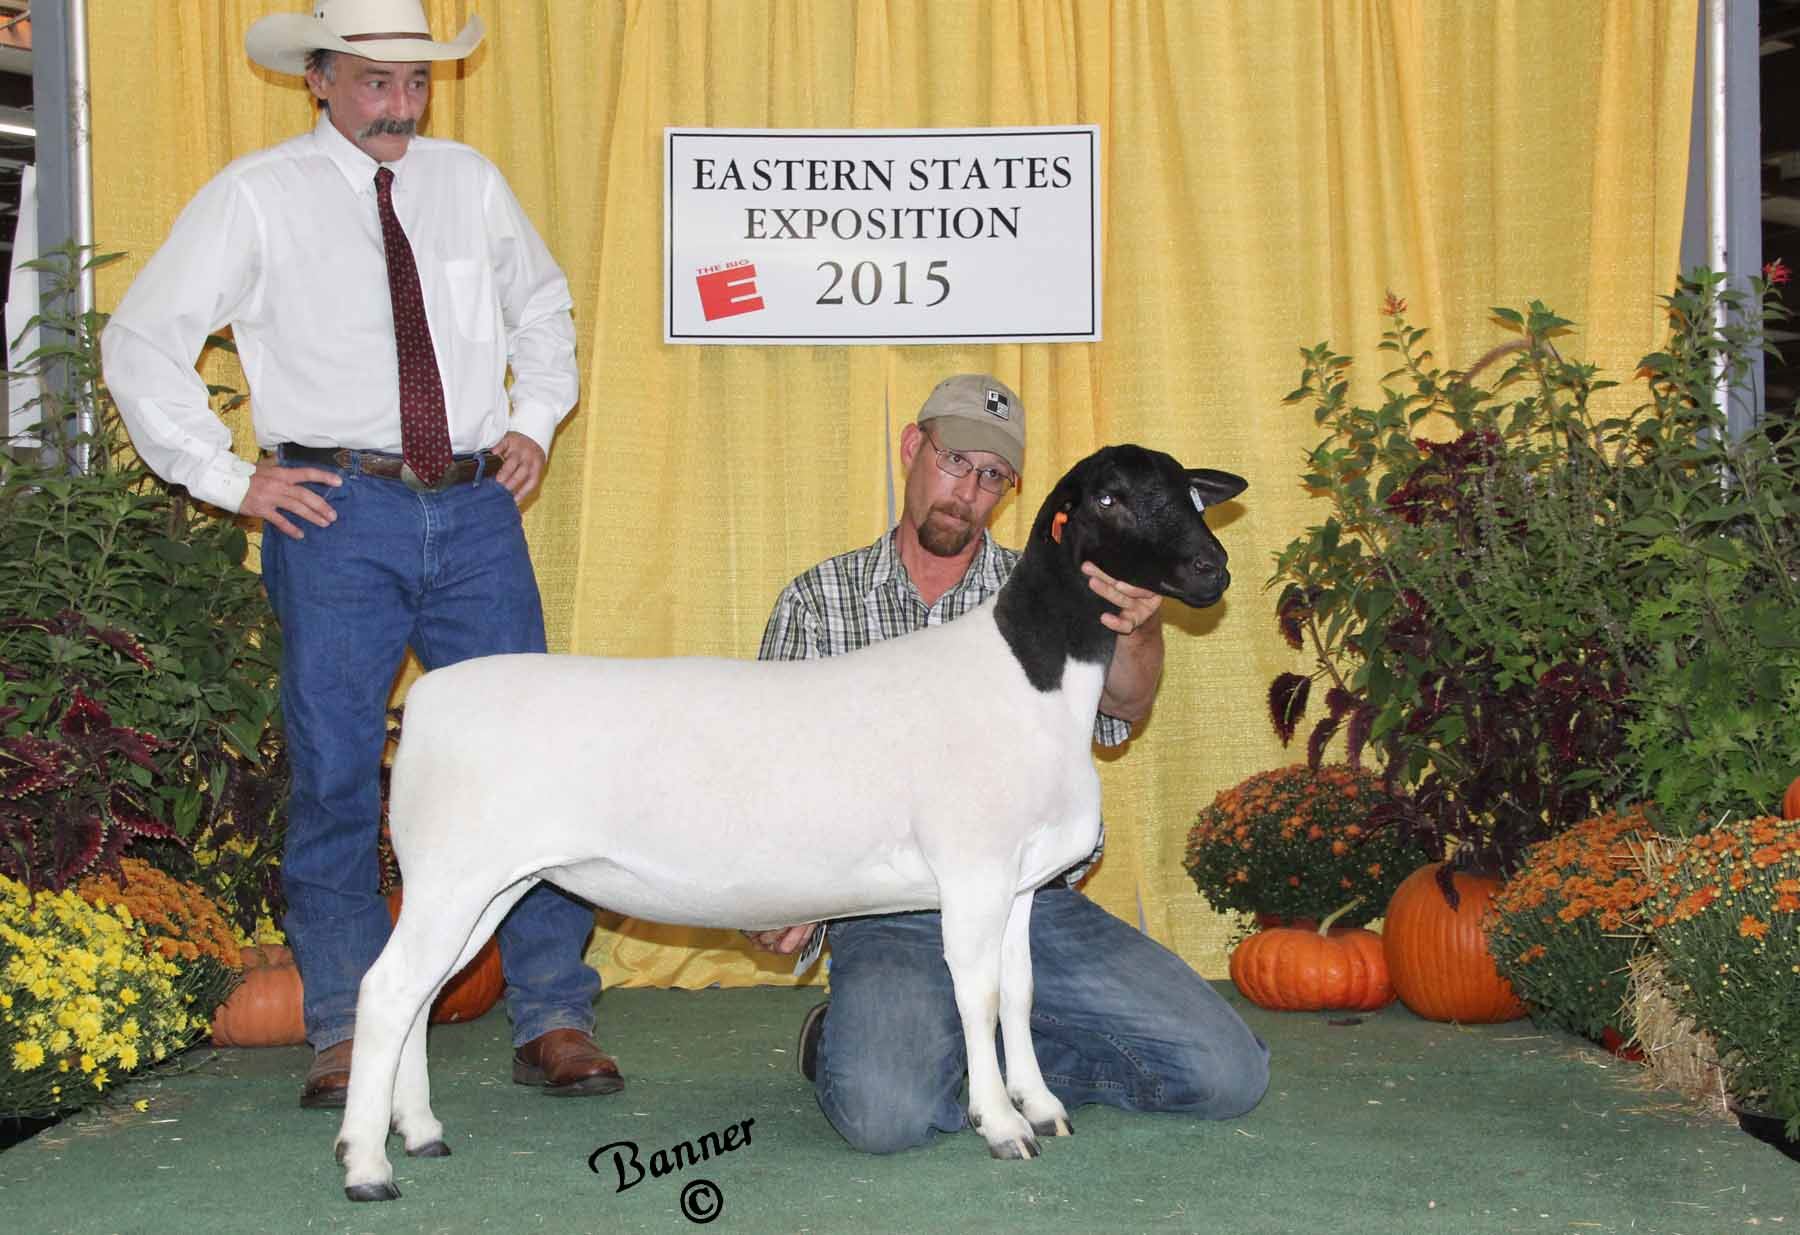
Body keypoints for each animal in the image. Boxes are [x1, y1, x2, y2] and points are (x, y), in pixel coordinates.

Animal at [334, 444, 1248, 1202]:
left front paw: (1043, 1104)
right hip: (453, 872)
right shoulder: (972, 871)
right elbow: (978, 993)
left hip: (482, 880)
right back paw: (367, 1164)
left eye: (1187, 494)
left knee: (422, 995)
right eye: (1111, 497)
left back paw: (420, 1131)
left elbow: (1018, 992)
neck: (1035, 675)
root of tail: (422, 701)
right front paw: (1001, 1124)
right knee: (386, 990)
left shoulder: (1020, 882)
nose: (1214, 567)